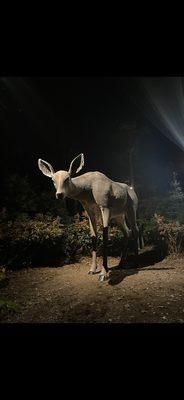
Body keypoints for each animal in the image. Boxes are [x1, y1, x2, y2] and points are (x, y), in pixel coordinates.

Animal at [37, 153, 141, 282]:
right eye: (53, 180)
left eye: (67, 178)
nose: (59, 194)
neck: (87, 189)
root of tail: (131, 190)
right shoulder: (89, 211)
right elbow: (93, 236)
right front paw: (92, 270)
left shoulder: (105, 206)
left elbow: (105, 235)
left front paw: (103, 273)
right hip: (119, 216)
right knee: (127, 232)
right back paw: (120, 264)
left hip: (131, 210)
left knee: (135, 230)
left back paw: (136, 263)